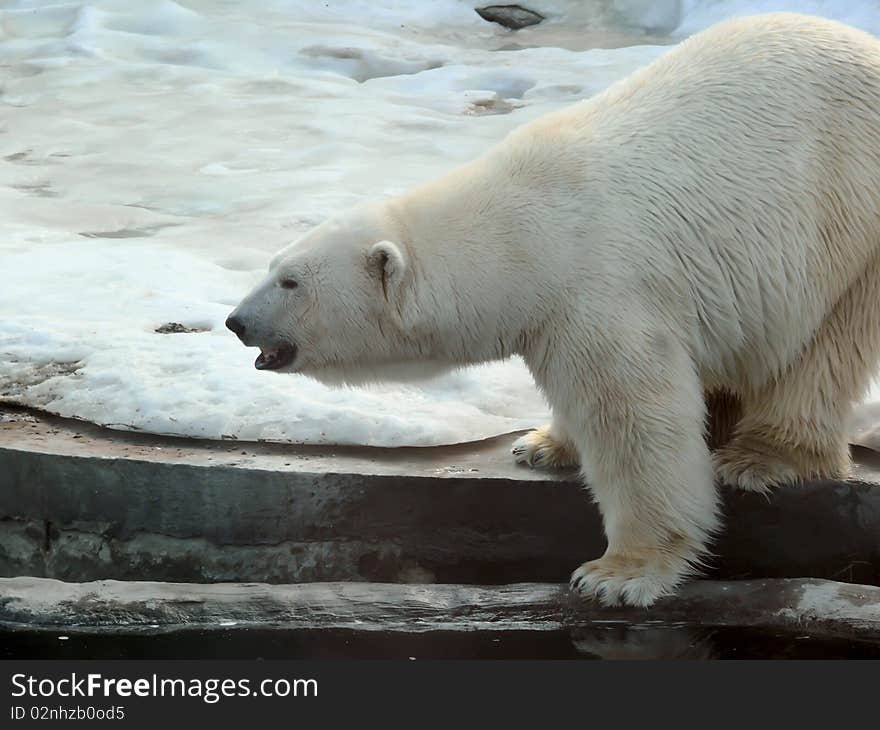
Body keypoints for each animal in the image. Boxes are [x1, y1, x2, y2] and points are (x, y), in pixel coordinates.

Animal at [229, 14, 880, 604]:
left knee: (825, 348)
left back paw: (762, 455)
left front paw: (618, 574)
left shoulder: (599, 287)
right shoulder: (555, 312)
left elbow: (634, 421)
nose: (237, 322)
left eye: (290, 282)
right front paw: (544, 444)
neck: (520, 231)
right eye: (272, 266)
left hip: (850, 221)